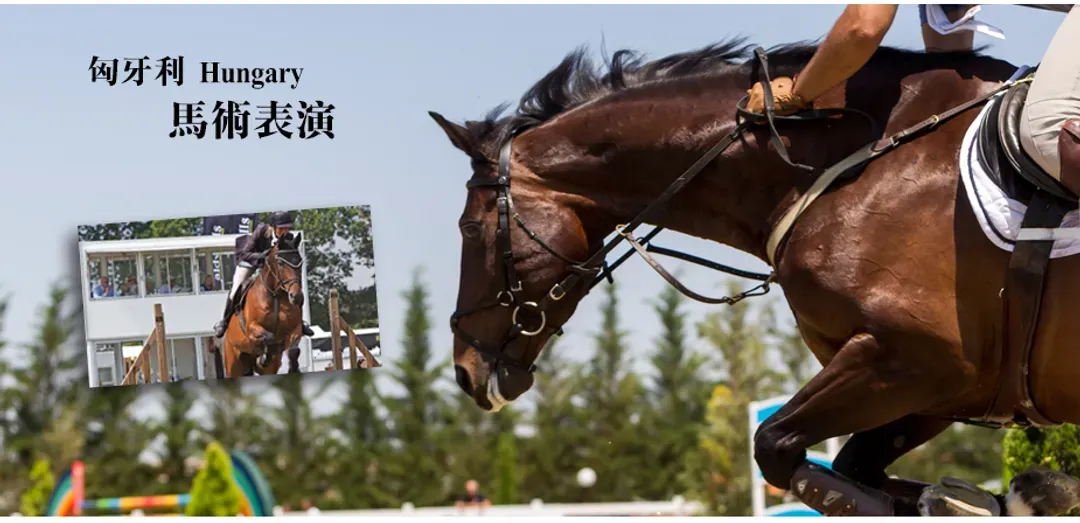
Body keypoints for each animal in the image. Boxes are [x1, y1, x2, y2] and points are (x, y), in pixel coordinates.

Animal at [431, 39, 1080, 516]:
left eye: (469, 228)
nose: (465, 372)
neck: (847, 167)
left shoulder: (917, 360)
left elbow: (777, 448)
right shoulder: (944, 388)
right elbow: (855, 470)